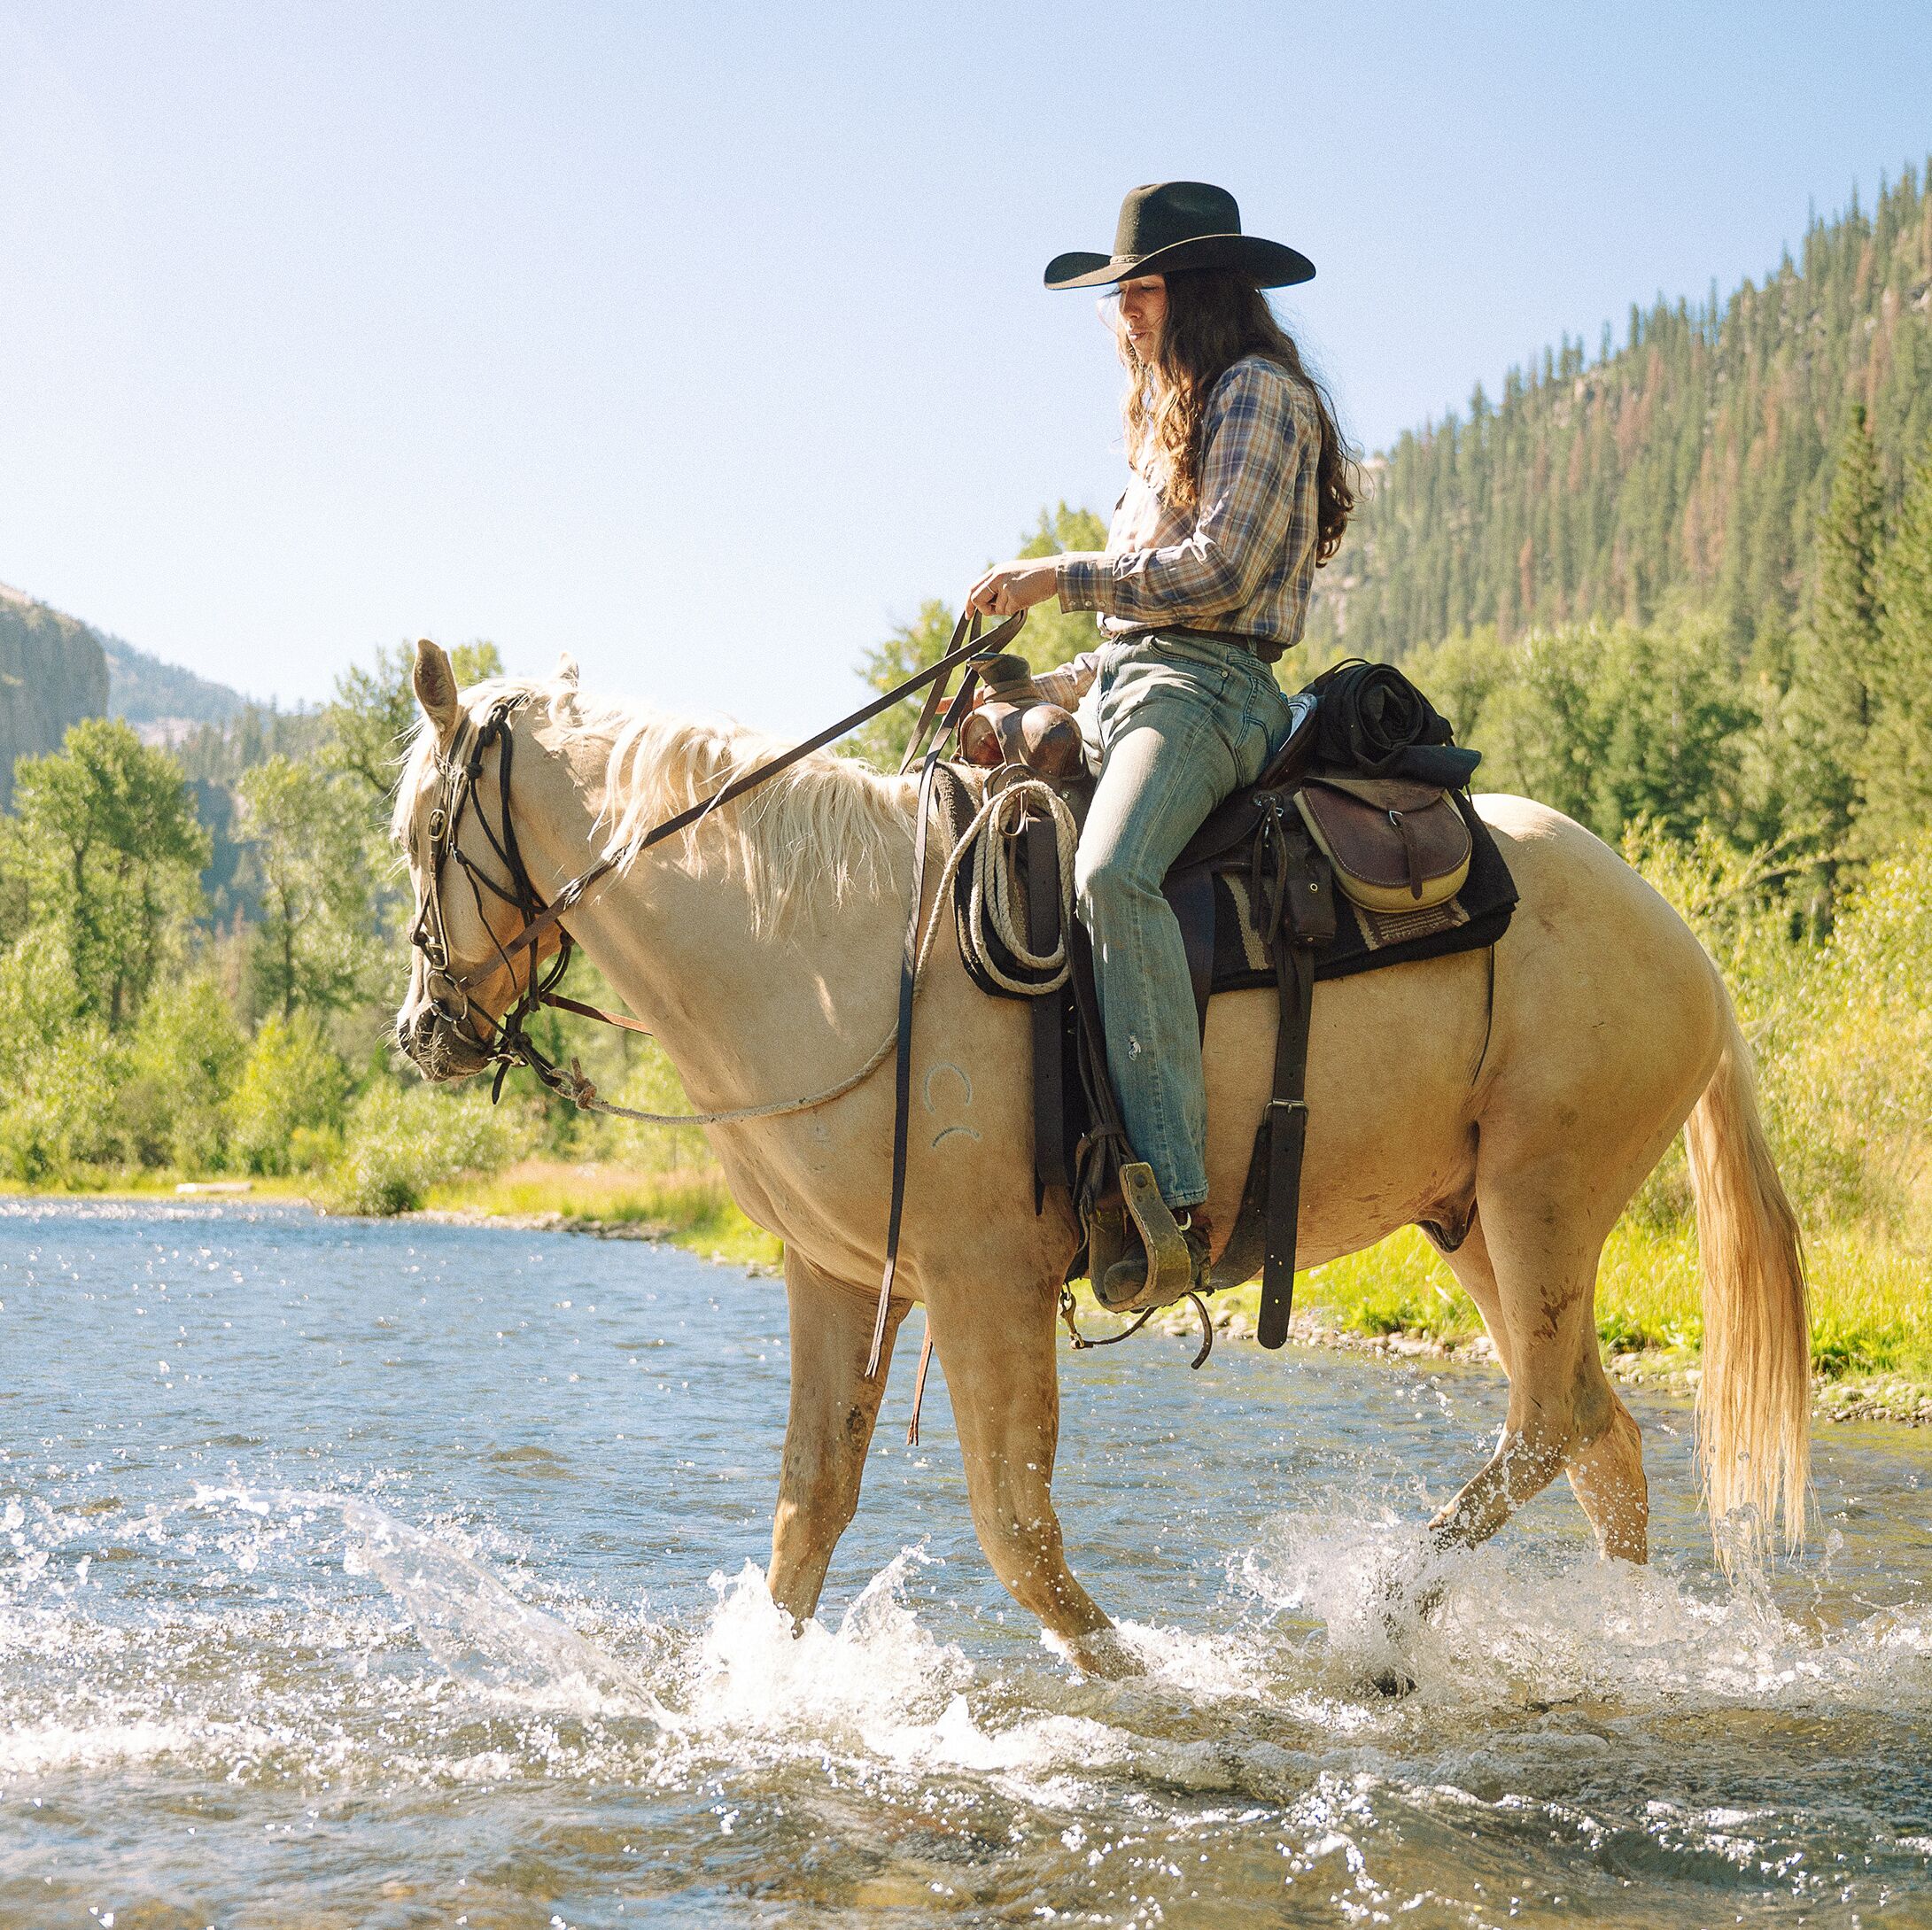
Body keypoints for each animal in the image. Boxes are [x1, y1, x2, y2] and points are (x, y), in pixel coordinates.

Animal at [392, 641, 1808, 1669]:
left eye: (417, 831)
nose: (422, 1031)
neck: (832, 951)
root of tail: (1681, 936)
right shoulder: (839, 1275)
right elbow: (809, 1510)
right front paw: (755, 1692)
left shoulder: (985, 1282)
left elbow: (1015, 1530)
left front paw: (1143, 1685)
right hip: (1468, 1217)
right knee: (1600, 1438)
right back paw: (1617, 1641)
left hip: (1543, 1197)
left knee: (1544, 1425)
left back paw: (1384, 1621)